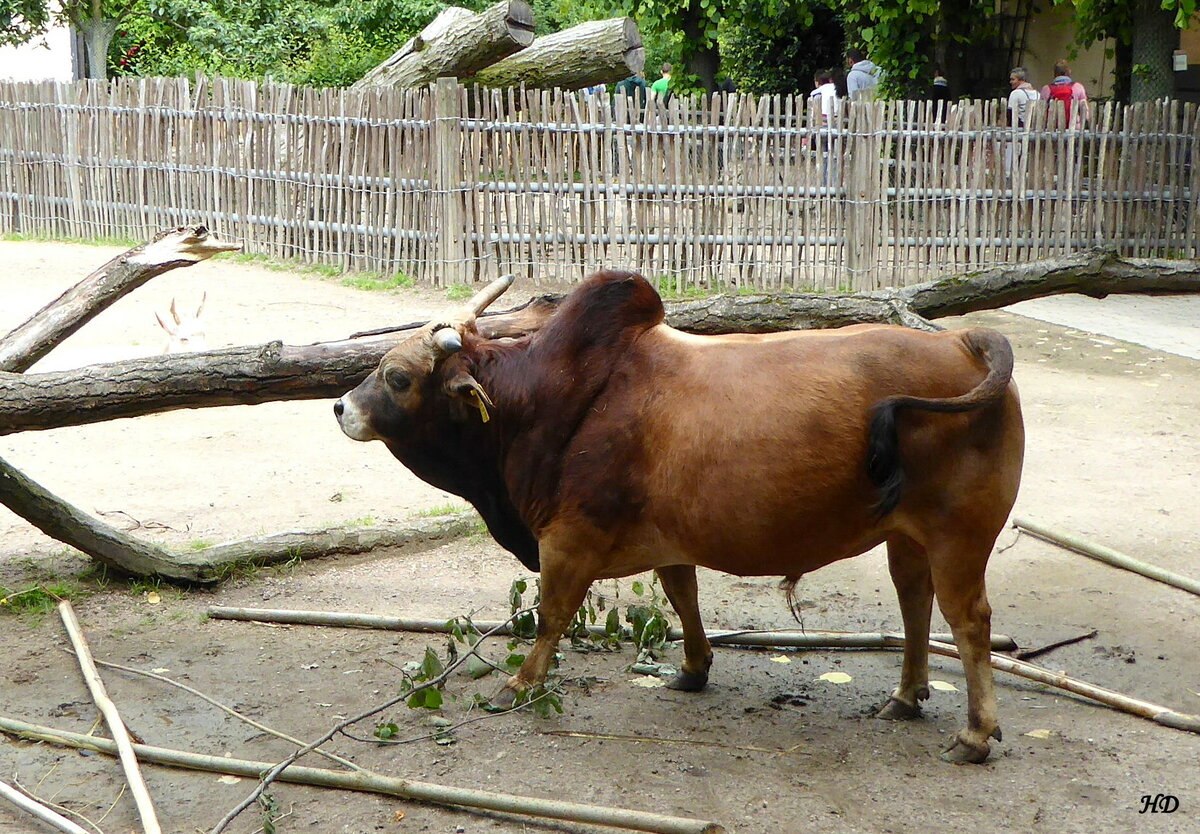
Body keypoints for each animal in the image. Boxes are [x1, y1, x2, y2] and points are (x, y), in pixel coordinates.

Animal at [336, 272, 1022, 763]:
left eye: (397, 377)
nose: (341, 407)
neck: (541, 400)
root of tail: (962, 339)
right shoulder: (667, 540)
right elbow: (682, 595)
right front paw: (693, 670)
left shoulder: (568, 538)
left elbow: (552, 615)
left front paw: (519, 684)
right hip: (906, 534)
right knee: (914, 603)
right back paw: (906, 697)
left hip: (960, 535)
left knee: (969, 621)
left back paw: (975, 734)